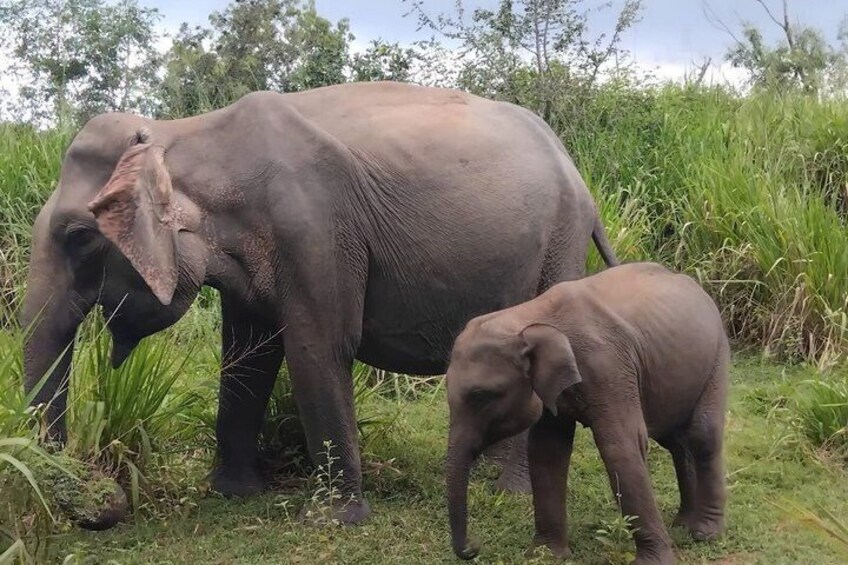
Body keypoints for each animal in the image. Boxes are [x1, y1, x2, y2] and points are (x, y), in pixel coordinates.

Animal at [20, 81, 618, 526]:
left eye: (78, 237)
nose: (105, 506)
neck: (186, 132)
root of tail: (573, 166)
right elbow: (250, 358)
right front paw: (233, 493)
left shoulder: (315, 227)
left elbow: (317, 348)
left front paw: (338, 520)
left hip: (560, 244)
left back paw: (509, 495)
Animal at [444, 262, 729, 564]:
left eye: (481, 396)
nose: (474, 546)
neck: (529, 316)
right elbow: (547, 450)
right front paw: (546, 554)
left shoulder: (609, 368)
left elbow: (620, 447)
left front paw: (653, 562)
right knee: (676, 440)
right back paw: (683, 524)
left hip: (718, 353)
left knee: (702, 434)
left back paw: (704, 532)